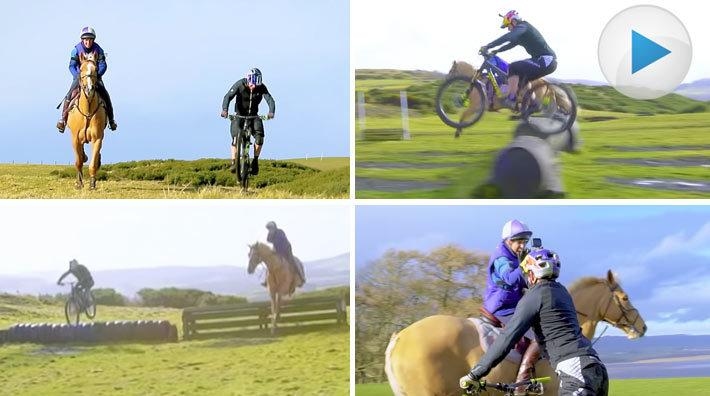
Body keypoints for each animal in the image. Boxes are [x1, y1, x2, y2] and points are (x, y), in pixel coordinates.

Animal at [68, 51, 108, 190]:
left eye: (95, 69)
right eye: (81, 69)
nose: (89, 89)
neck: (88, 112)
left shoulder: (97, 138)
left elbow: (93, 163)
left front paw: (92, 184)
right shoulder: (75, 138)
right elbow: (78, 161)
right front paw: (79, 183)